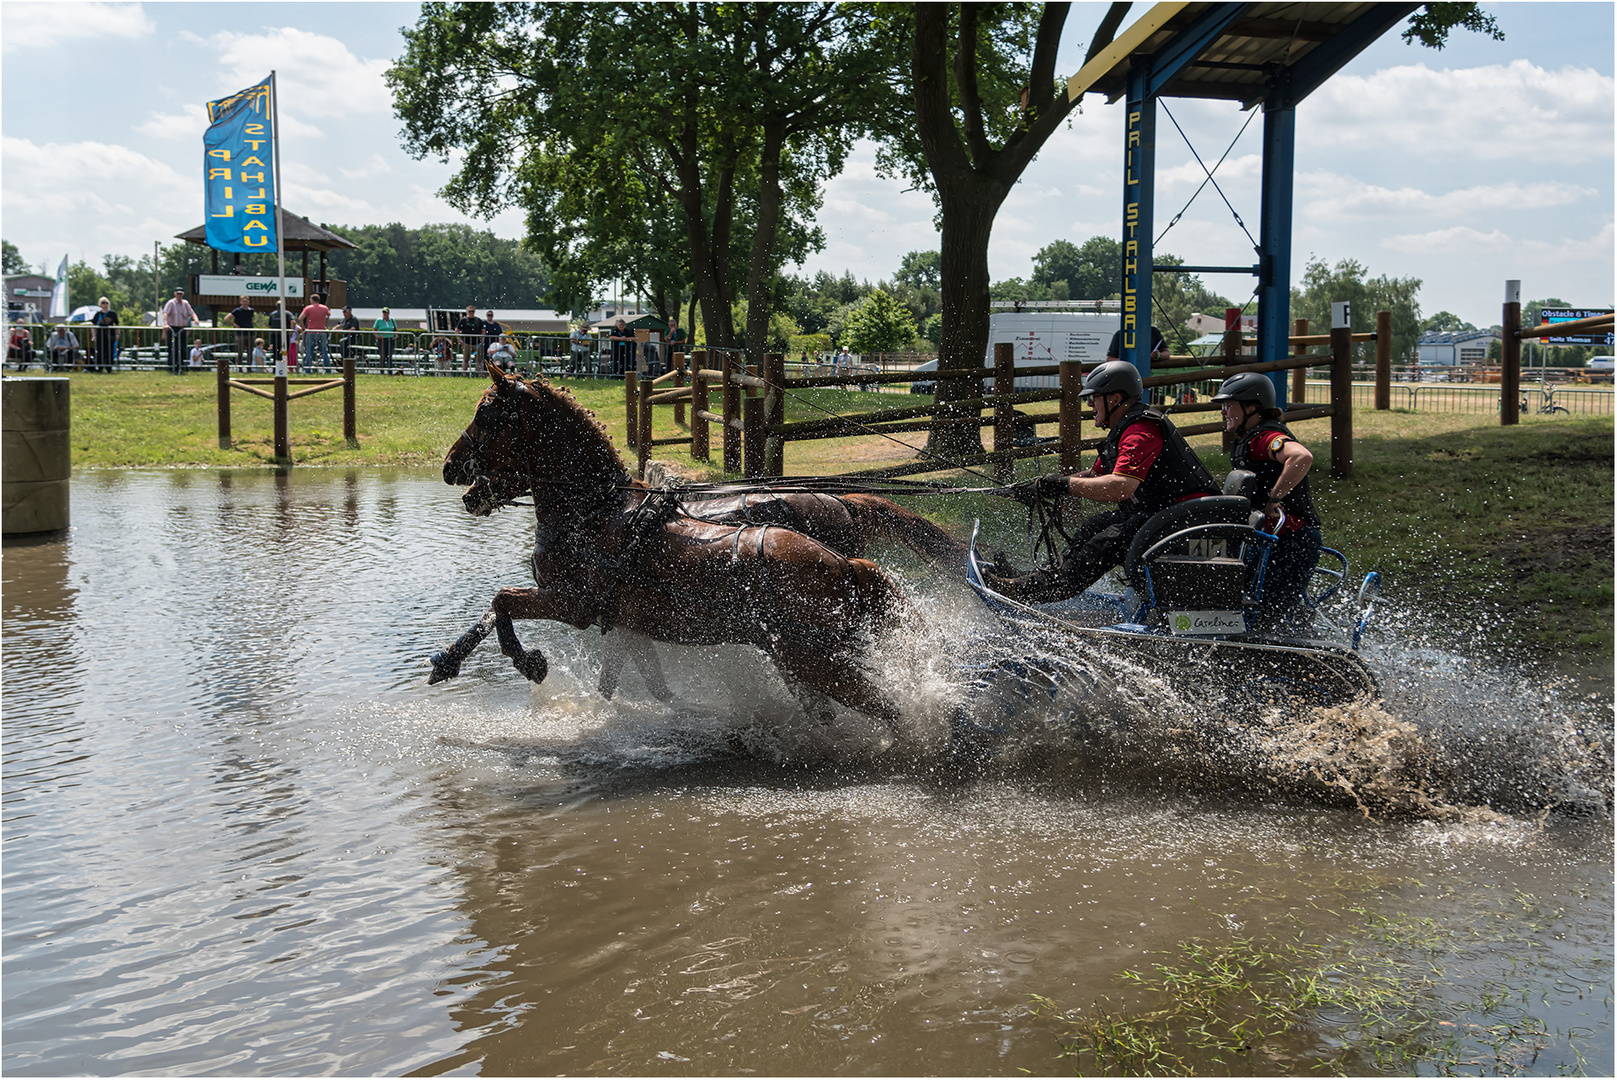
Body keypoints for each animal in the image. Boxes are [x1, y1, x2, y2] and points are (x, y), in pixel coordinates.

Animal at [430, 367, 911, 721]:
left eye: (486, 413)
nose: (450, 465)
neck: (594, 511)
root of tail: (845, 564)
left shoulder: (572, 602)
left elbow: (502, 601)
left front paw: (528, 661)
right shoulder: (623, 622)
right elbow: (636, 682)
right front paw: (448, 660)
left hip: (813, 658)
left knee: (887, 709)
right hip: (796, 658)